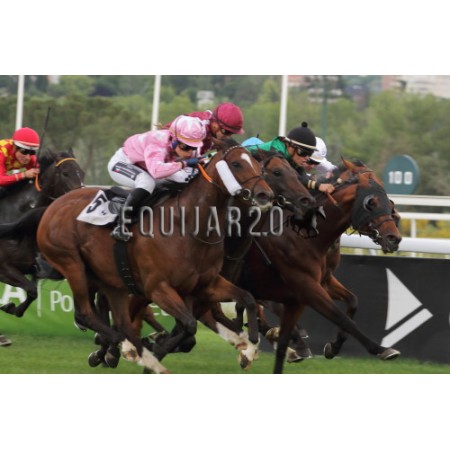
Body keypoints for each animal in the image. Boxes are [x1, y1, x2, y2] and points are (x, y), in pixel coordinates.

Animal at [0, 149, 85, 317]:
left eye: (82, 173)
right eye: (65, 173)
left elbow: (34, 291)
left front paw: (12, 308)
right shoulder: (4, 268)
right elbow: (32, 289)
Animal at [35, 138, 275, 374]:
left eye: (256, 163)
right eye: (236, 164)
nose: (266, 194)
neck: (188, 225)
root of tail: (55, 204)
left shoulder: (206, 284)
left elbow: (246, 298)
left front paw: (251, 342)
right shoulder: (157, 288)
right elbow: (189, 324)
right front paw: (156, 349)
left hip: (109, 279)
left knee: (118, 320)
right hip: (72, 264)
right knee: (85, 314)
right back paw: (130, 350)